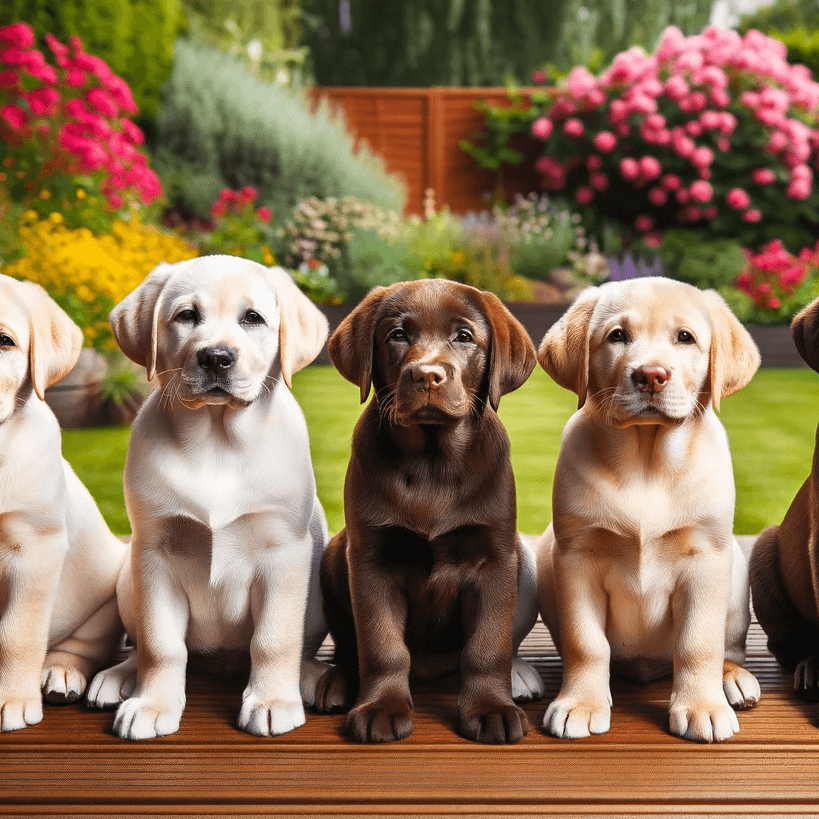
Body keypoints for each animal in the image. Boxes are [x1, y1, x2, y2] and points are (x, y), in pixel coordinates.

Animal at [0, 274, 126, 732]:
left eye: (4, 341)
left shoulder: (34, 549)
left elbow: (17, 634)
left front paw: (12, 701)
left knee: (79, 648)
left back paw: (61, 673)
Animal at [540, 278, 764, 748]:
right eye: (617, 336)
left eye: (685, 338)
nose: (651, 376)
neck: (646, 461)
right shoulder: (576, 558)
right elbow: (585, 642)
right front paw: (580, 703)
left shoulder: (705, 558)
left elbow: (698, 642)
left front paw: (701, 706)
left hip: (734, 568)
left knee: (727, 647)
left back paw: (732, 679)